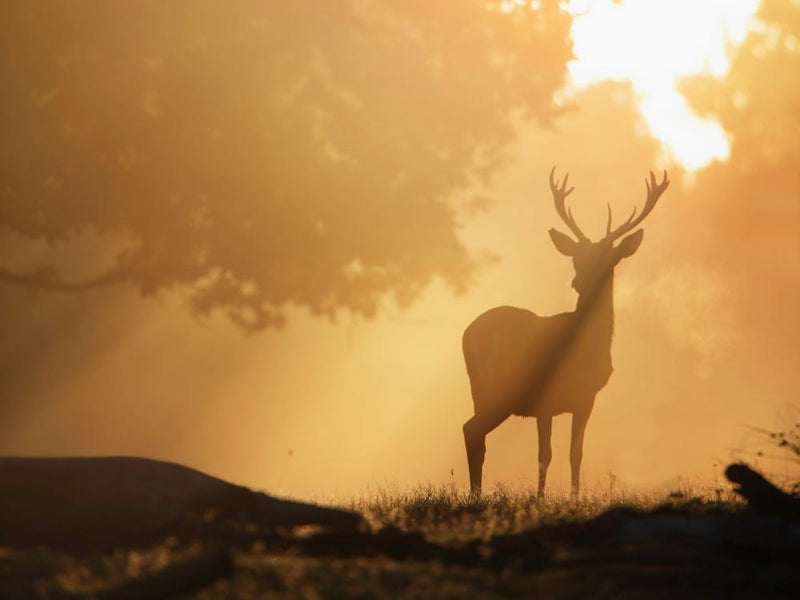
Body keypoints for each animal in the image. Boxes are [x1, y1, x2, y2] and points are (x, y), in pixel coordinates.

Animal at [462, 167, 669, 497]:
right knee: (472, 429)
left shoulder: (585, 399)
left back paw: (475, 493)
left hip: (481, 390)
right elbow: (544, 454)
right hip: (501, 387)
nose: (579, 282)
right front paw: (539, 497)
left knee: (474, 430)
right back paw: (475, 494)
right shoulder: (546, 399)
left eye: (608, 259)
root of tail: (469, 336)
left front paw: (574, 496)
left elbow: (576, 453)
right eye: (576, 257)